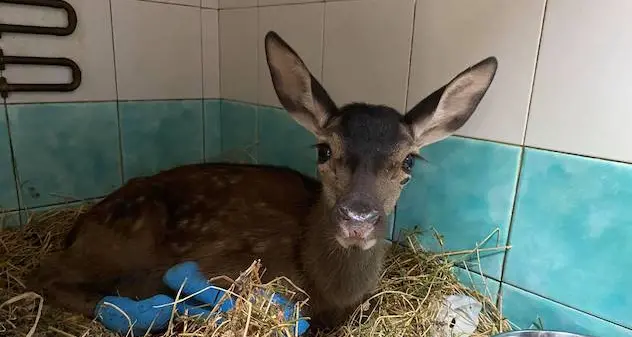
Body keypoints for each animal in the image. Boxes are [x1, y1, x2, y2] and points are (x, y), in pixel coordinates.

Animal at [27, 31, 498, 330]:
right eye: (324, 150)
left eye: (409, 162)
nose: (358, 218)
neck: (329, 291)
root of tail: (78, 225)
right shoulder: (228, 267)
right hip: (125, 234)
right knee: (46, 272)